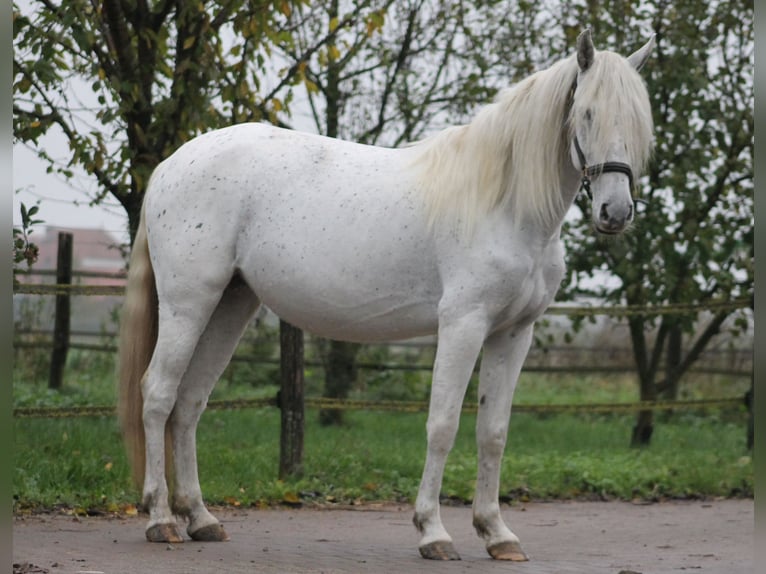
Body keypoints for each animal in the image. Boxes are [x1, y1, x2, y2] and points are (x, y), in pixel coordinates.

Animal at [118, 30, 656, 564]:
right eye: (587, 113)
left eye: (638, 120)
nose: (615, 212)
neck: (506, 203)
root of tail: (170, 165)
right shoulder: (463, 324)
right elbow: (442, 426)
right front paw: (433, 532)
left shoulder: (512, 334)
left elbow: (493, 433)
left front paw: (497, 533)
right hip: (189, 305)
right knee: (159, 395)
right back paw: (161, 520)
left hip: (230, 306)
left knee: (190, 403)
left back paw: (201, 519)